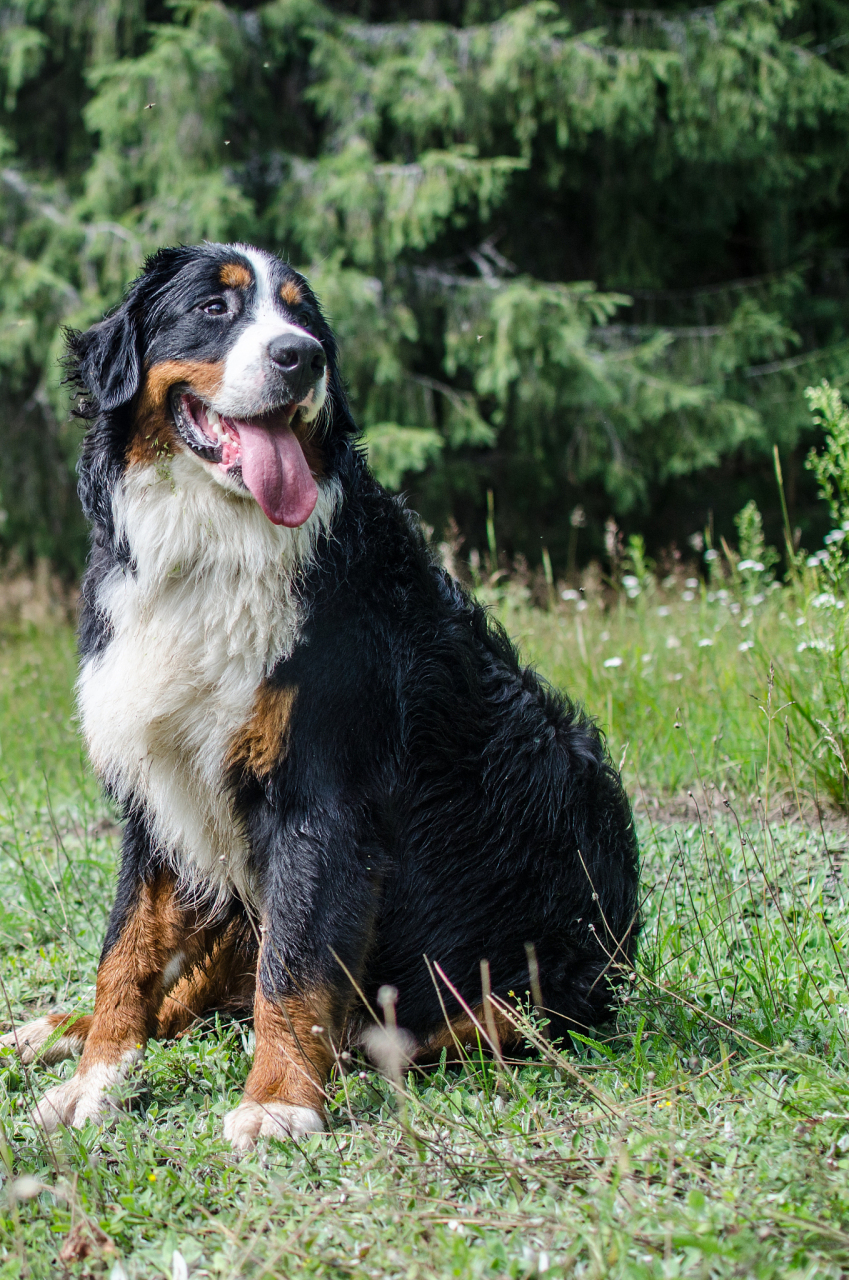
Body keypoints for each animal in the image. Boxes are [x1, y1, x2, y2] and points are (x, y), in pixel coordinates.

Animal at [0, 240, 637, 1152]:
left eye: (304, 321)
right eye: (215, 308)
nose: (301, 359)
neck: (216, 550)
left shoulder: (319, 795)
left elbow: (294, 966)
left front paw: (278, 1100)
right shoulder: (157, 797)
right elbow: (126, 953)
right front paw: (97, 1080)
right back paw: (57, 1031)